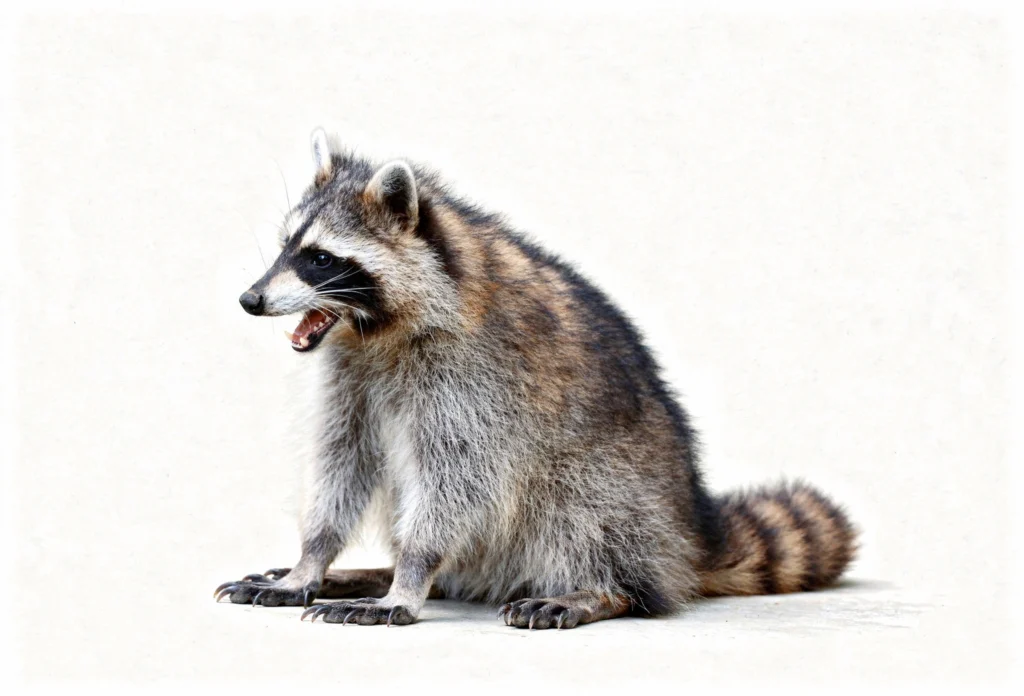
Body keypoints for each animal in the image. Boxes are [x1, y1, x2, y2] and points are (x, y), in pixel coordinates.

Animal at [214, 129, 857, 629]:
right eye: (286, 246)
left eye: (320, 259)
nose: (249, 300)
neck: (377, 331)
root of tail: (690, 537)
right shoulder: (350, 373)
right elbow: (343, 458)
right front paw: (312, 561)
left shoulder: (473, 377)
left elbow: (459, 477)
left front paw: (411, 575)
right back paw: (378, 571)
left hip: (624, 486)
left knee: (577, 503)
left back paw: (599, 588)